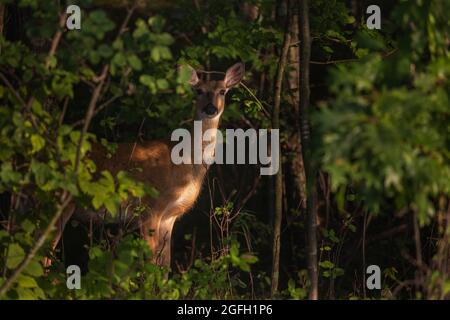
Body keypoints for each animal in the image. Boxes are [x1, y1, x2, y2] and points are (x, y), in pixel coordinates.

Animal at [46, 62, 246, 268]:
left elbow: (165, 265)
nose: (210, 108)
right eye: (198, 91)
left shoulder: (169, 216)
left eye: (222, 91)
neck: (185, 164)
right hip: (57, 199)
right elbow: (151, 263)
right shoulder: (150, 208)